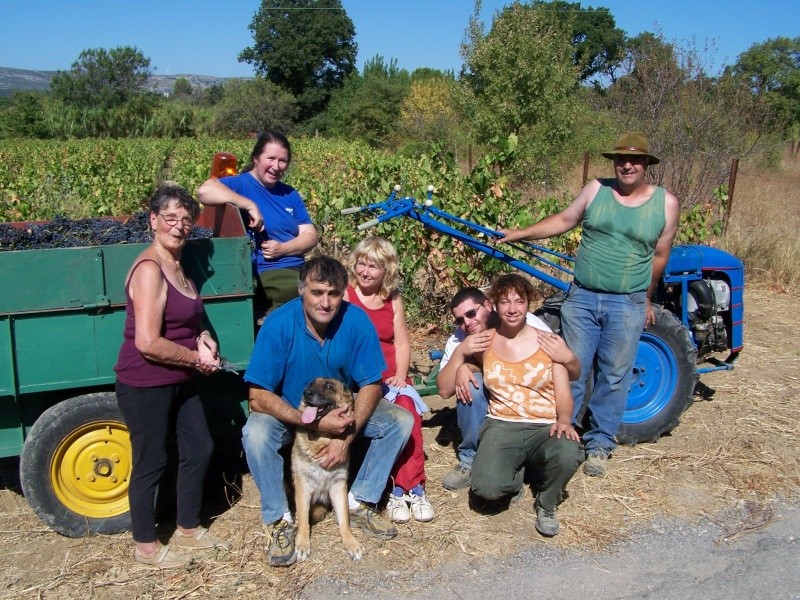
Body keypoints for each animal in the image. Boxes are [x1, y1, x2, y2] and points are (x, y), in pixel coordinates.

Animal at [292, 378, 364, 560]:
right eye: (311, 384)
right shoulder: (303, 488)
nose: (306, 393)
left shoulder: (338, 487)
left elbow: (344, 520)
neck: (323, 439)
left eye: (329, 386)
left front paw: (351, 543)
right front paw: (302, 544)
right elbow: (303, 520)